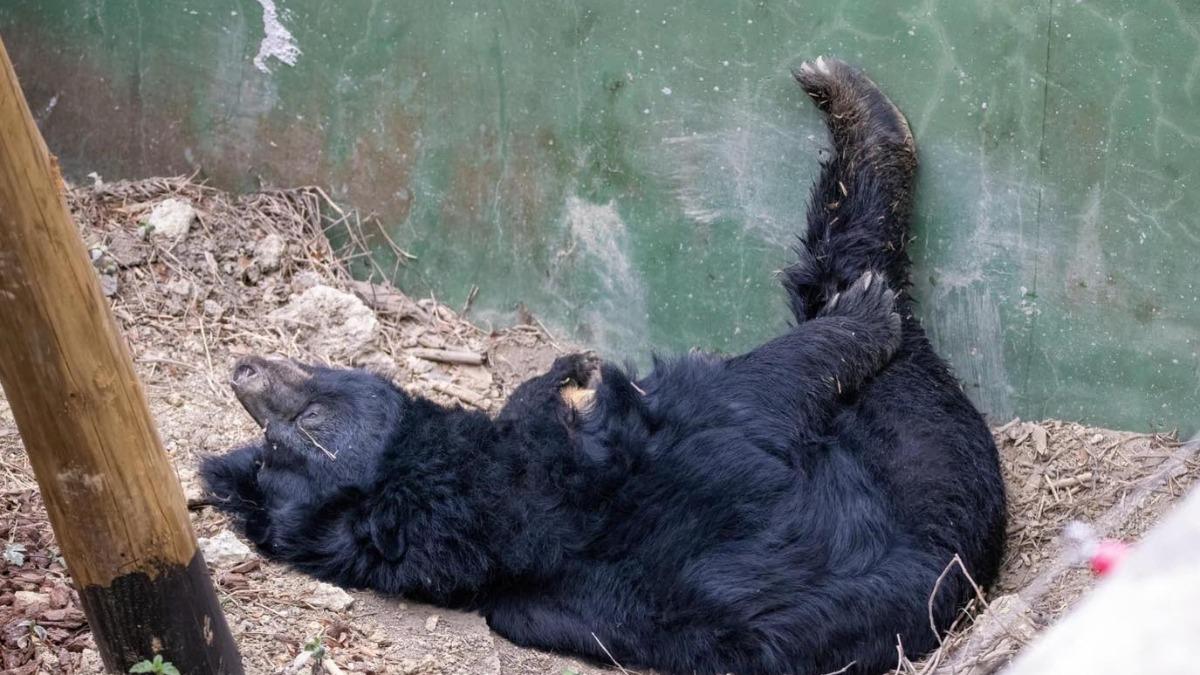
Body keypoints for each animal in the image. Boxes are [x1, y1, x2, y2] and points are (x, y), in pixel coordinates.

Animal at [200, 57, 1006, 675]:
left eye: (288, 431)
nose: (244, 372)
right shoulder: (634, 443)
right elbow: (754, 390)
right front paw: (860, 318)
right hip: (922, 435)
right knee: (851, 281)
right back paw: (859, 137)